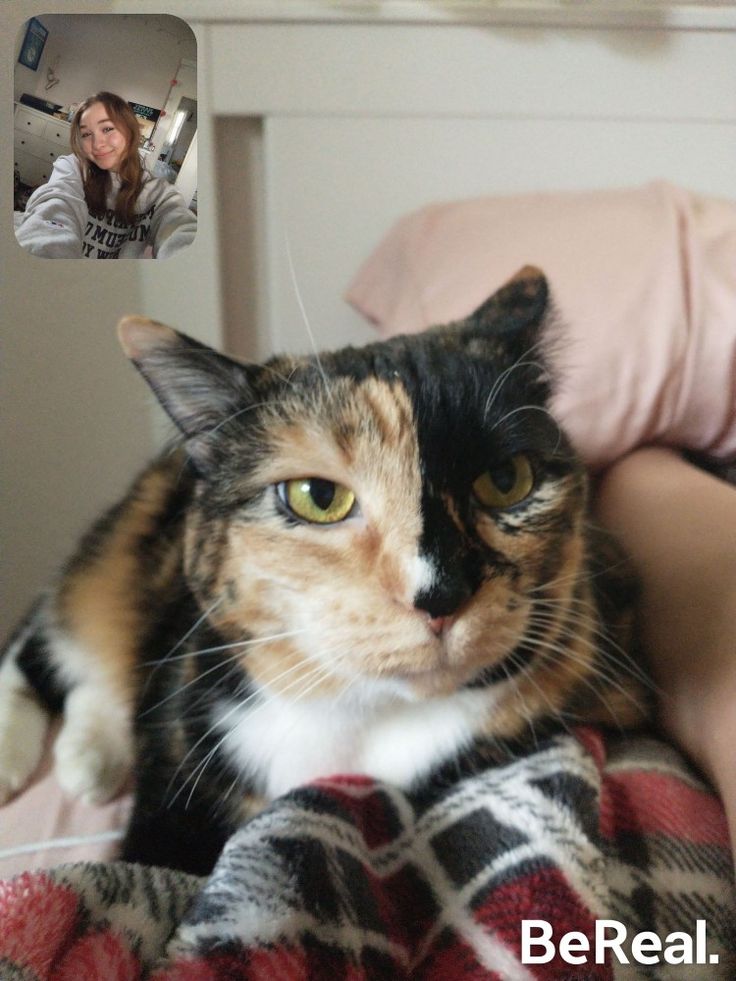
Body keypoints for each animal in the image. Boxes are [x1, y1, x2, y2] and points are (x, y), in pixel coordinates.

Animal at [0, 268, 644, 872]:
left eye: (507, 479)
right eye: (317, 496)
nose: (439, 594)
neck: (362, 723)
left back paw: (89, 760)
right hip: (117, 555)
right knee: (50, 640)